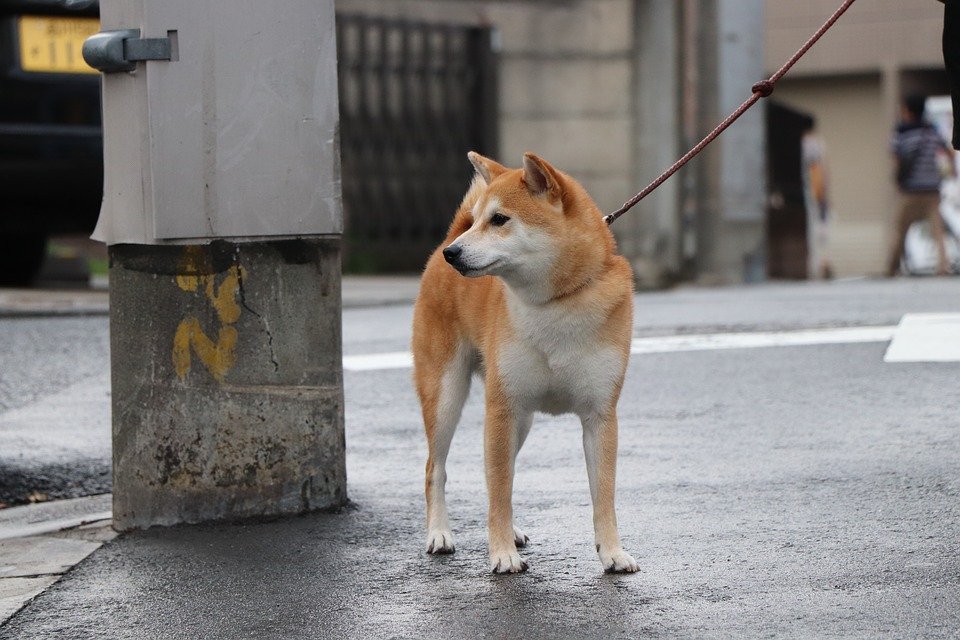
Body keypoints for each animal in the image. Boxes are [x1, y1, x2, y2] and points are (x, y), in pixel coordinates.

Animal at [412, 151, 636, 576]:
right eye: (481, 219)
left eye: (499, 219)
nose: (453, 254)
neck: (555, 304)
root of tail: (446, 238)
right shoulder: (502, 408)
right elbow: (499, 491)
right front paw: (501, 554)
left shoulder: (601, 415)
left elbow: (604, 494)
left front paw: (613, 552)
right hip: (447, 395)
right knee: (436, 468)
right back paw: (439, 533)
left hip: (523, 420)